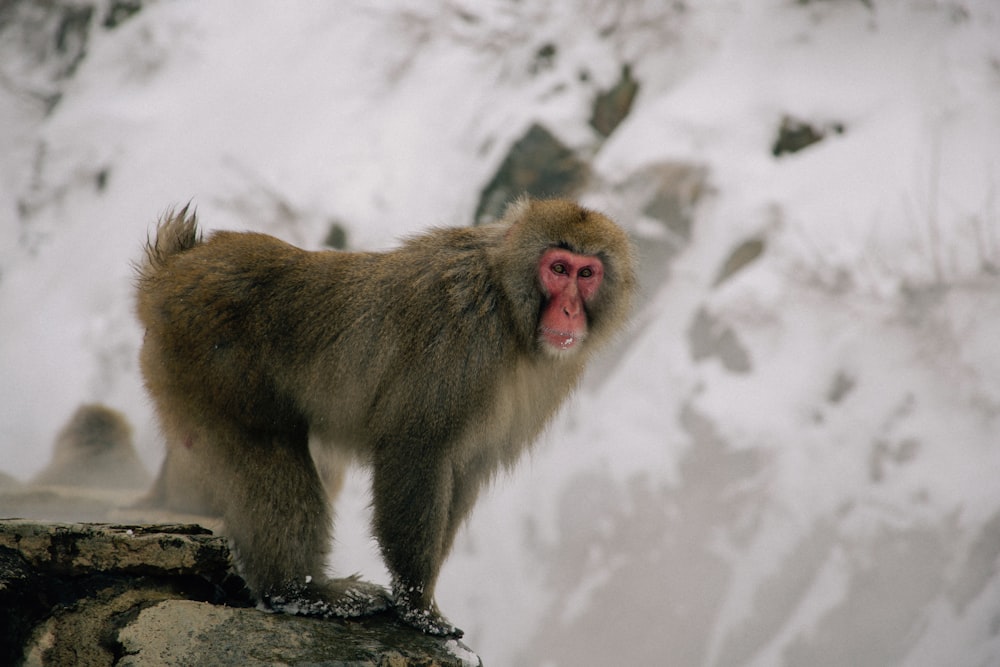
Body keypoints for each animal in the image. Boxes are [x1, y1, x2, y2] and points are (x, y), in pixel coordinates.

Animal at [133, 197, 636, 636]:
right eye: (558, 269)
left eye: (587, 273)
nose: (569, 310)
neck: (510, 311)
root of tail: (176, 265)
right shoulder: (463, 337)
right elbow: (417, 451)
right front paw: (418, 606)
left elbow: (462, 471)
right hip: (211, 359)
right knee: (266, 449)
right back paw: (298, 592)